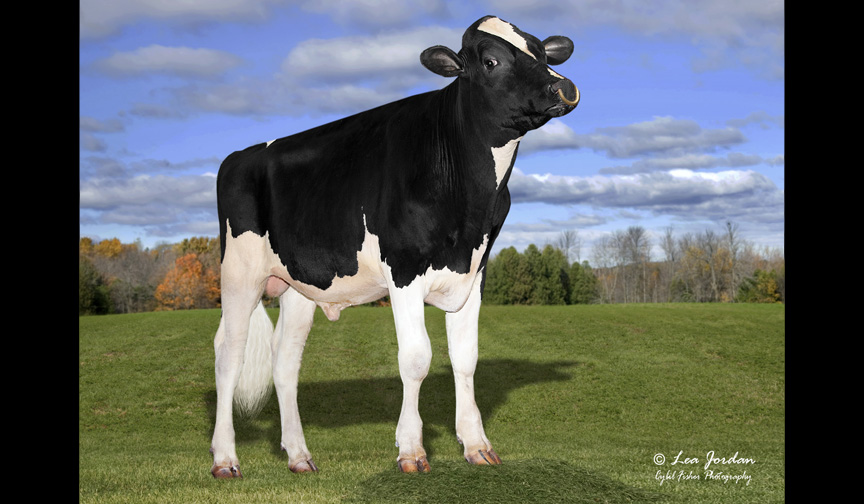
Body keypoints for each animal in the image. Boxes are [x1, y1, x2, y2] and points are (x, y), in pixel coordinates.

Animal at [210, 15, 580, 478]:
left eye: (542, 52)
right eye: (491, 60)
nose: (565, 87)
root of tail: (240, 155)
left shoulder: (474, 271)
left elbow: (466, 357)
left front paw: (476, 445)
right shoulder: (403, 269)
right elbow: (416, 358)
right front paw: (411, 449)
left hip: (300, 285)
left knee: (285, 362)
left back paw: (298, 455)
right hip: (238, 273)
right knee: (229, 355)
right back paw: (225, 458)